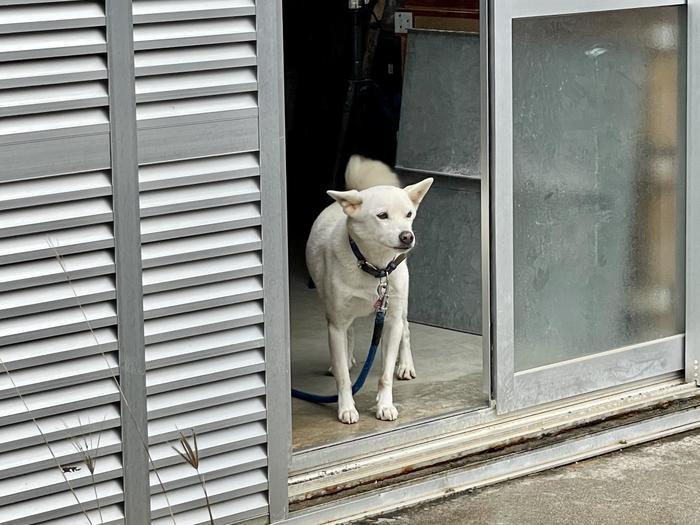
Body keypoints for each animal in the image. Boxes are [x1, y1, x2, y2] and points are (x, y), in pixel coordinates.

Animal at [306, 155, 432, 422]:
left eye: (409, 214)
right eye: (382, 216)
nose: (407, 236)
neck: (375, 266)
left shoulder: (391, 320)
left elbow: (385, 375)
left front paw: (385, 405)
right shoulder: (336, 322)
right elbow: (343, 377)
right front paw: (346, 408)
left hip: (401, 306)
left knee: (406, 329)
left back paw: (405, 365)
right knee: (349, 333)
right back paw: (346, 357)